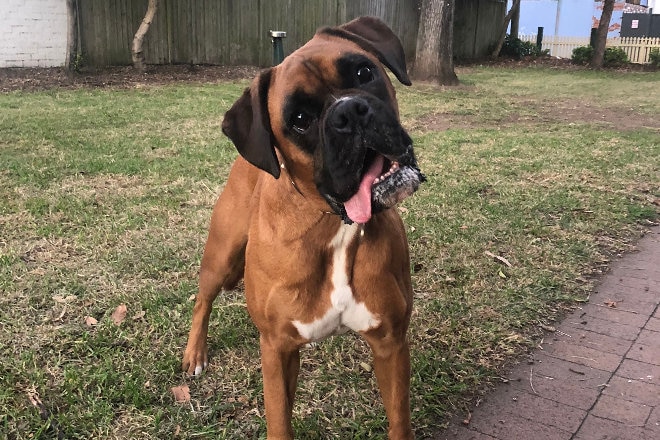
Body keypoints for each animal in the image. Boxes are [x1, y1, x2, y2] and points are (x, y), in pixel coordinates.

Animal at [183, 15, 426, 438]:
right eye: (299, 120)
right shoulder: (277, 349)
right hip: (222, 256)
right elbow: (279, 421)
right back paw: (194, 353)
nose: (350, 112)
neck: (334, 225)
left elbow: (399, 420)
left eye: (364, 73)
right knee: (203, 300)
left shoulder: (390, 343)